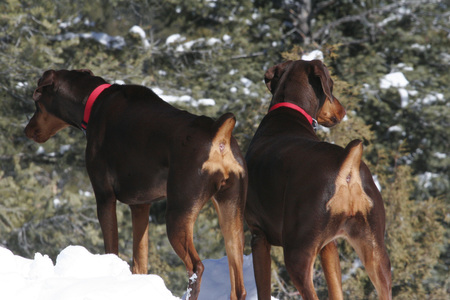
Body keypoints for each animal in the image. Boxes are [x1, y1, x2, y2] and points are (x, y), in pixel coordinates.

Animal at [24, 68, 248, 300]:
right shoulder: (140, 204)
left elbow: (112, 249)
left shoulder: (104, 195)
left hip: (178, 212)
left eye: (37, 103)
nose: (27, 130)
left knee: (196, 267)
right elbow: (140, 263)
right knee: (238, 284)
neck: (91, 105)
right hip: (232, 214)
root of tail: (220, 137)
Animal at [244, 60, 392, 300]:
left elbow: (263, 289)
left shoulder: (258, 235)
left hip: (297, 252)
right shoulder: (328, 245)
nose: (342, 110)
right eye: (331, 83)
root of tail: (348, 168)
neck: (287, 114)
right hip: (375, 248)